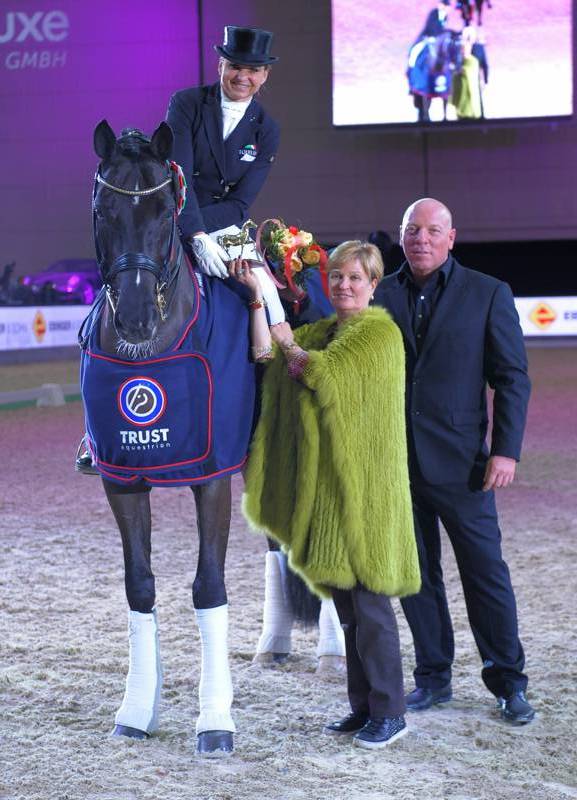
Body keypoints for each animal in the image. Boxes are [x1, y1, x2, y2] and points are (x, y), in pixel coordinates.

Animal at [82, 119, 253, 756]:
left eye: (163, 211)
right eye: (103, 211)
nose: (134, 317)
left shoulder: (213, 477)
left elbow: (209, 588)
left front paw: (215, 720)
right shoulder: (122, 479)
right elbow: (140, 587)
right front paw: (137, 708)